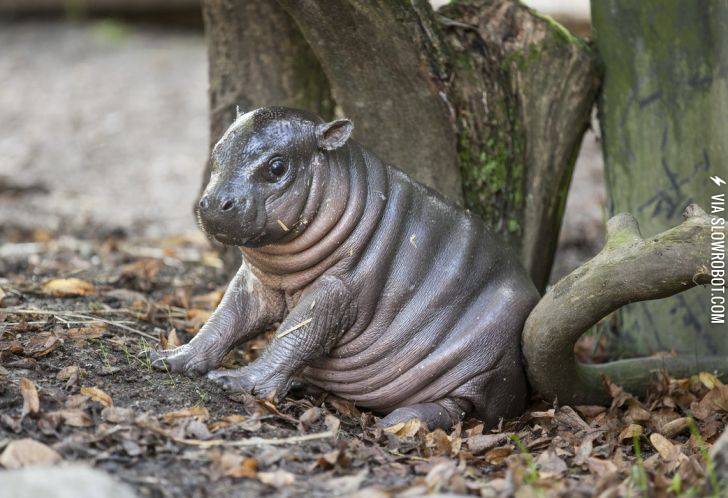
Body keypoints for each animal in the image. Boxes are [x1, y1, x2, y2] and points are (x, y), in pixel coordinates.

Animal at [151, 107, 540, 430]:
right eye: (216, 152)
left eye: (277, 167)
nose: (215, 202)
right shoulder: (256, 281)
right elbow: (224, 320)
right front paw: (168, 358)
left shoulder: (337, 290)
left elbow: (296, 334)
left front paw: (234, 381)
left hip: (487, 366)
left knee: (458, 407)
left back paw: (398, 423)